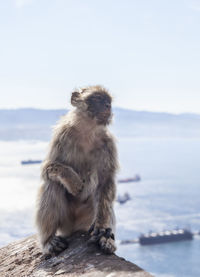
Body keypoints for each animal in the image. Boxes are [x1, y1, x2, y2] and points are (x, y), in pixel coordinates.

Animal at [35, 85, 118, 256]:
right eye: (98, 99)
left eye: (108, 101)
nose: (108, 106)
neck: (88, 130)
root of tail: (74, 229)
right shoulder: (62, 135)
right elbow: (47, 168)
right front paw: (72, 181)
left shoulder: (108, 144)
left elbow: (106, 182)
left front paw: (102, 227)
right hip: (66, 222)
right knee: (52, 184)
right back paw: (48, 241)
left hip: (86, 220)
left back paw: (106, 239)